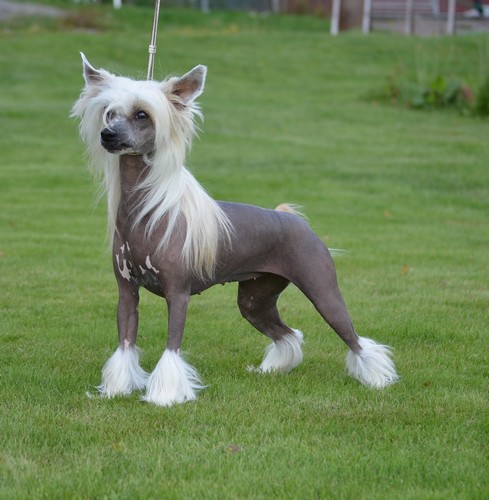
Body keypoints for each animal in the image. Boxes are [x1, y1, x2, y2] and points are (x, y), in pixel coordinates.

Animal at [72, 54, 398, 406]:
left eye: (142, 114)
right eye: (110, 113)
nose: (108, 135)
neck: (146, 214)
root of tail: (293, 220)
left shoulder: (178, 294)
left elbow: (172, 348)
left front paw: (165, 396)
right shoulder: (127, 293)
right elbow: (125, 344)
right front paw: (117, 390)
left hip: (323, 292)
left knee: (354, 338)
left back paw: (378, 380)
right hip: (256, 299)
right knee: (287, 334)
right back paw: (275, 369)